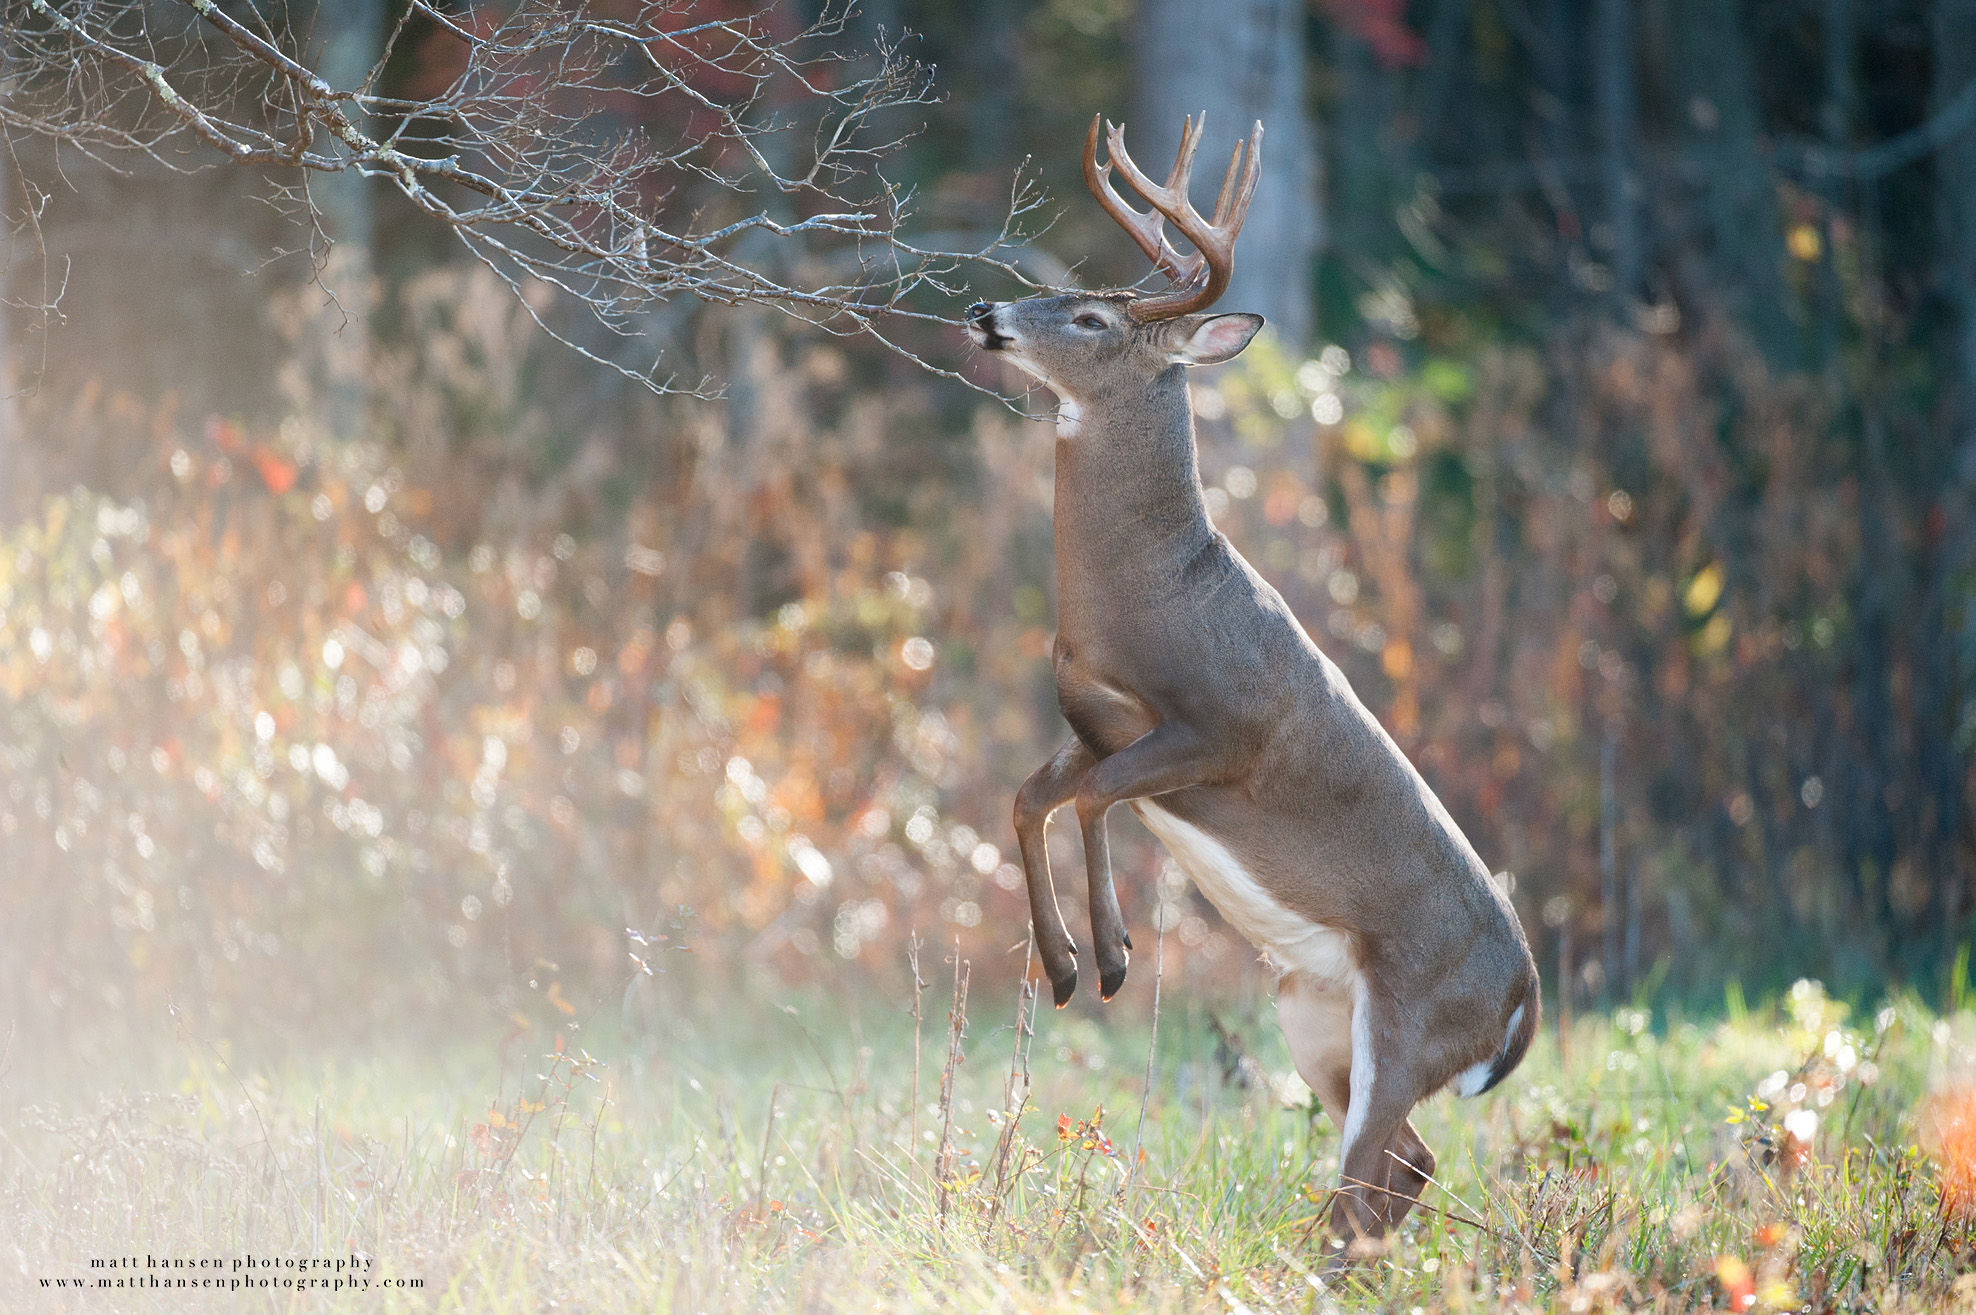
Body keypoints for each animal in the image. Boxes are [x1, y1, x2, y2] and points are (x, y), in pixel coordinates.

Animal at [964, 114, 1540, 1255]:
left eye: (1092, 315)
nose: (985, 311)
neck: (1152, 596)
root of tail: (1522, 1005)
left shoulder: (1223, 731)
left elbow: (1092, 797)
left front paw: (1111, 956)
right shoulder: (1092, 722)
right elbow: (1029, 796)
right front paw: (1061, 964)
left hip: (1412, 1021)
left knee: (1372, 1169)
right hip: (1311, 1013)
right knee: (1407, 1164)